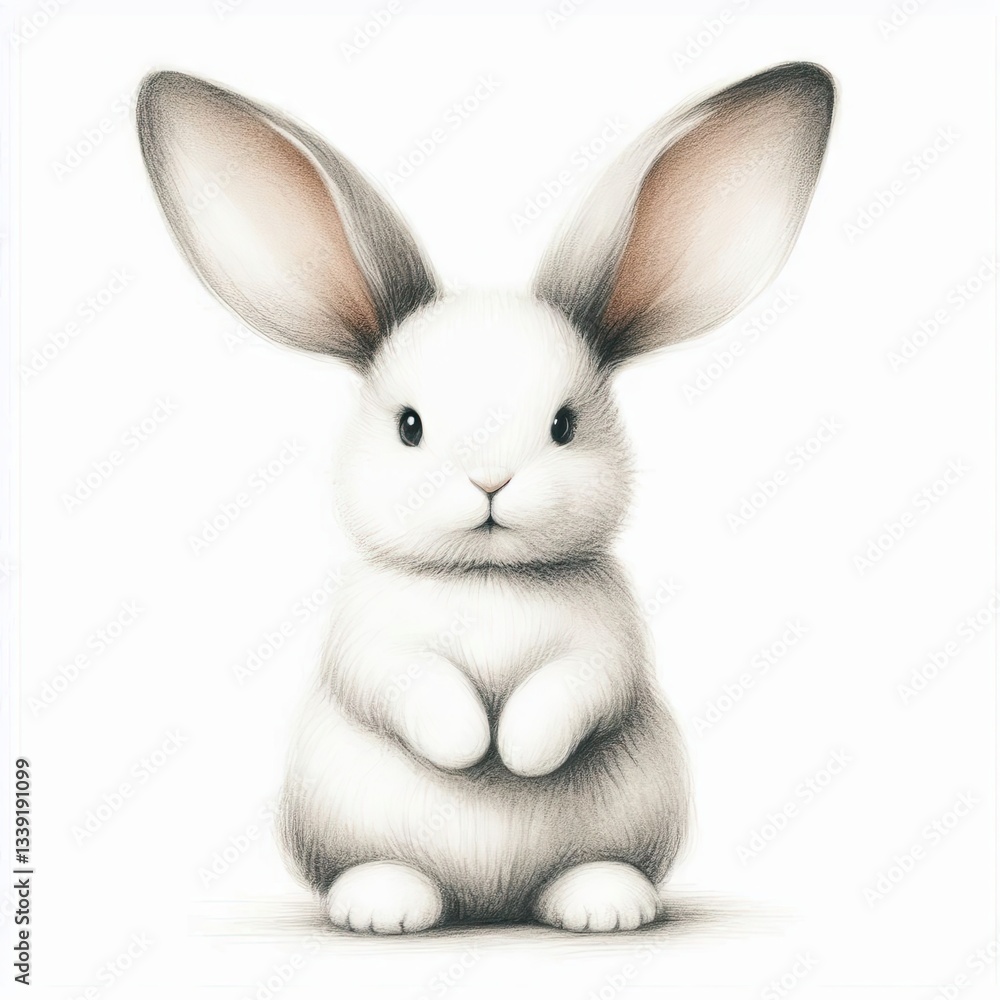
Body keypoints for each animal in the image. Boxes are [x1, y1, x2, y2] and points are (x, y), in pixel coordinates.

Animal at [136, 61, 834, 933]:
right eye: (409, 426)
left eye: (565, 425)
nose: (491, 482)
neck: (488, 578)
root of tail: (492, 906)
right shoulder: (371, 643)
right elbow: (408, 685)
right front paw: (472, 748)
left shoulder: (608, 648)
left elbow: (578, 689)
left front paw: (520, 754)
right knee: (386, 870)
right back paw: (384, 908)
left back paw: (604, 905)